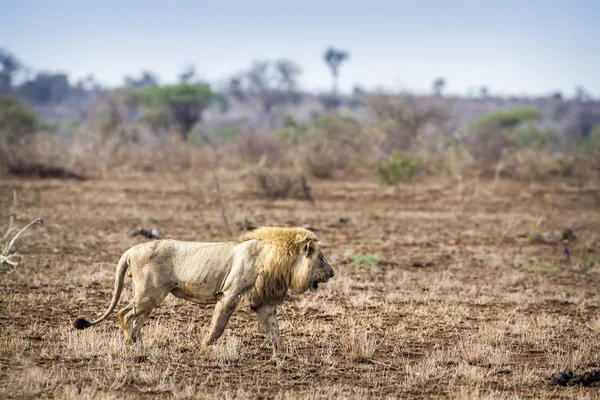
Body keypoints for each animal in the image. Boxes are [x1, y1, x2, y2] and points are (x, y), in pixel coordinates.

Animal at [73, 225, 336, 354]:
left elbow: (274, 328)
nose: (333, 273)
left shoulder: (264, 302)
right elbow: (219, 325)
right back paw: (131, 342)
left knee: (135, 318)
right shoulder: (230, 294)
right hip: (150, 293)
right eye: (322, 259)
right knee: (124, 313)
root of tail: (131, 249)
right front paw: (205, 346)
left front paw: (281, 351)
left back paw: (139, 343)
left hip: (149, 296)